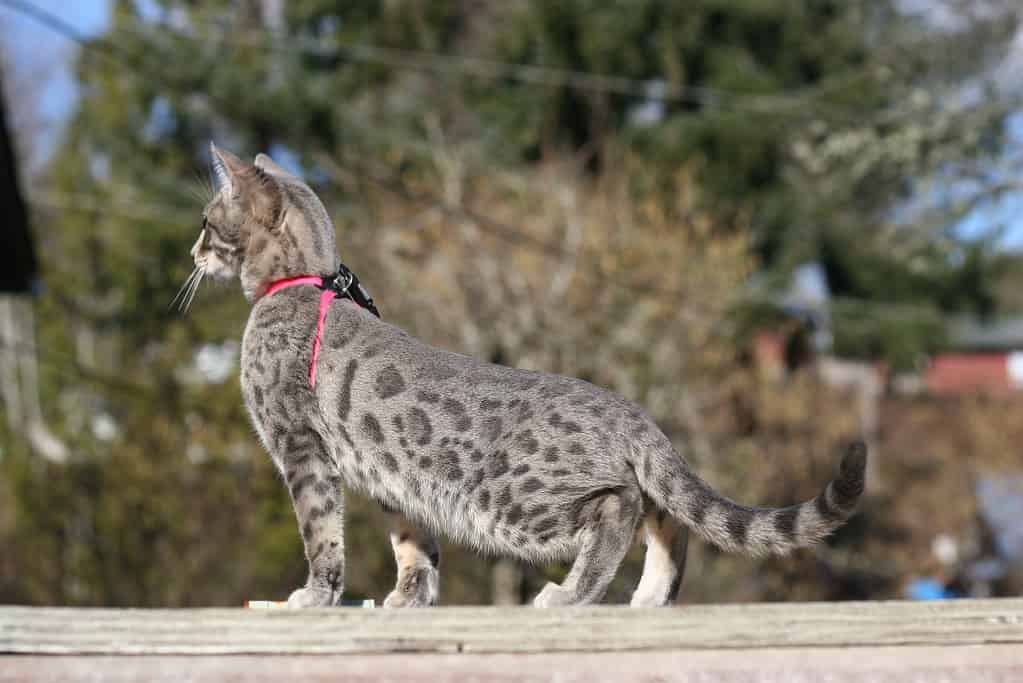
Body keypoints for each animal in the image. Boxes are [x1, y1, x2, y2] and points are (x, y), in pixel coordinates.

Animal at [188, 144, 867, 609]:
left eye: (206, 221)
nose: (192, 253)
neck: (303, 282)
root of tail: (634, 414)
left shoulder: (300, 448)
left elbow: (322, 532)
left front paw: (314, 595)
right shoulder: (390, 479)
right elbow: (414, 544)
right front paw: (407, 599)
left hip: (517, 500)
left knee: (621, 508)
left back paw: (570, 593)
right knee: (669, 517)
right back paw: (648, 596)